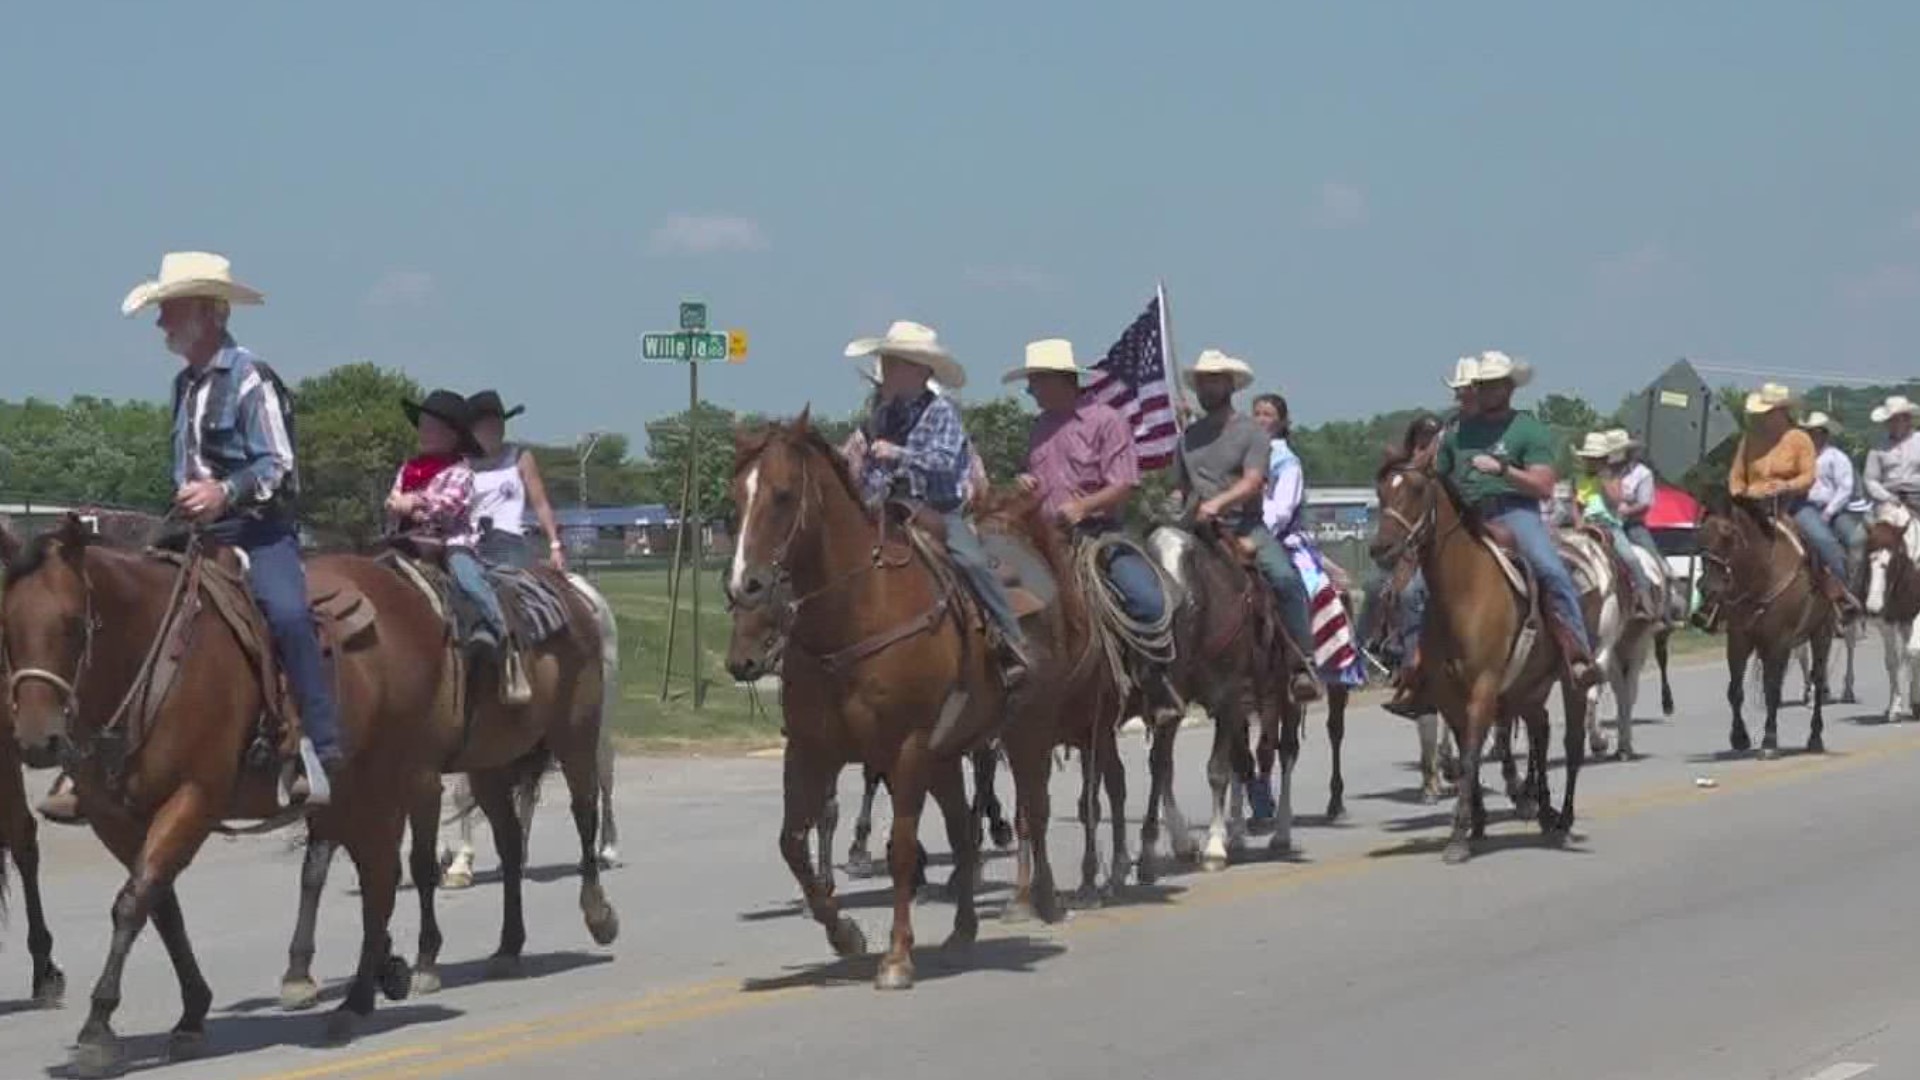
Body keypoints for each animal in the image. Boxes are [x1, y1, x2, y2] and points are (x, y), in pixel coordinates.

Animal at [439, 568, 622, 887]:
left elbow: (461, 792)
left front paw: (461, 865)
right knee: (529, 793)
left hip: (592, 727)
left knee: (602, 777)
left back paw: (605, 851)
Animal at [721, 411, 1105, 983]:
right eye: (735, 496)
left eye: (784, 494)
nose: (744, 584)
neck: (855, 617)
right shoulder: (811, 750)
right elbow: (793, 842)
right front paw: (844, 933)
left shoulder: (906, 748)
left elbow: (902, 847)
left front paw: (897, 956)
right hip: (947, 754)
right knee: (964, 833)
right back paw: (963, 930)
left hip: (1026, 730)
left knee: (1032, 811)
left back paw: (1043, 900)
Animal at [1374, 449, 1597, 860]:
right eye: (1380, 490)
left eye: (1416, 489)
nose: (1380, 548)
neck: (1463, 593)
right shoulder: (1449, 697)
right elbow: (1468, 757)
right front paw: (1475, 822)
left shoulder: (1483, 687)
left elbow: (1471, 755)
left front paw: (1458, 835)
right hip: (1528, 688)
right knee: (1540, 732)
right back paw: (1543, 810)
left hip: (1569, 681)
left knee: (1572, 746)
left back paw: (1564, 820)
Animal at [1697, 499, 1843, 753]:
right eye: (1701, 536)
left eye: (1728, 535)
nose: (1708, 589)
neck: (1761, 576)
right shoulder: (1739, 639)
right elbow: (1735, 691)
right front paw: (1739, 737)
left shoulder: (1779, 641)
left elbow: (1773, 690)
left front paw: (1769, 741)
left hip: (1821, 632)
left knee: (1817, 680)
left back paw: (1815, 738)